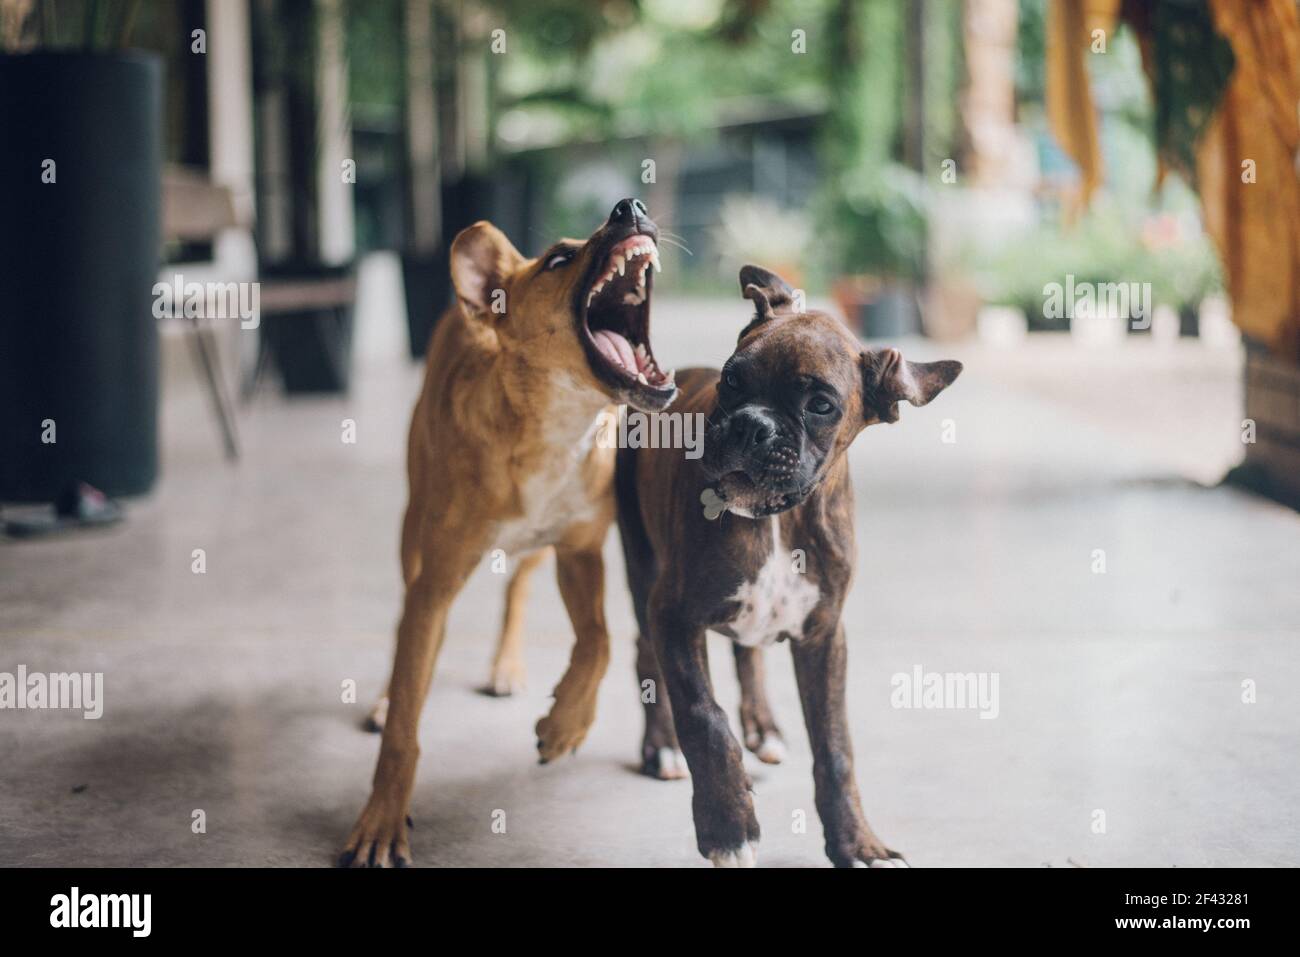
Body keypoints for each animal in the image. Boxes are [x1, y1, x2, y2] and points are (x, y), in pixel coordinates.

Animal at [335, 200, 681, 868]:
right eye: (558, 259)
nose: (630, 206)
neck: (556, 426)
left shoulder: (581, 554)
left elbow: (597, 640)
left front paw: (566, 723)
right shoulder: (437, 583)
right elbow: (405, 727)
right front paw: (381, 820)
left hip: (538, 556)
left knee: (518, 590)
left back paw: (507, 666)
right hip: (413, 534)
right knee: (404, 627)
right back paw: (390, 696)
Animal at [613, 263, 961, 868]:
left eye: (820, 405)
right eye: (732, 381)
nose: (751, 424)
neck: (776, 517)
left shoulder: (823, 635)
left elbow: (836, 749)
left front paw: (857, 843)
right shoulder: (673, 616)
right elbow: (704, 717)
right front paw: (728, 827)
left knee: (746, 654)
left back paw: (764, 727)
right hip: (641, 568)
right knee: (645, 658)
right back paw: (662, 748)